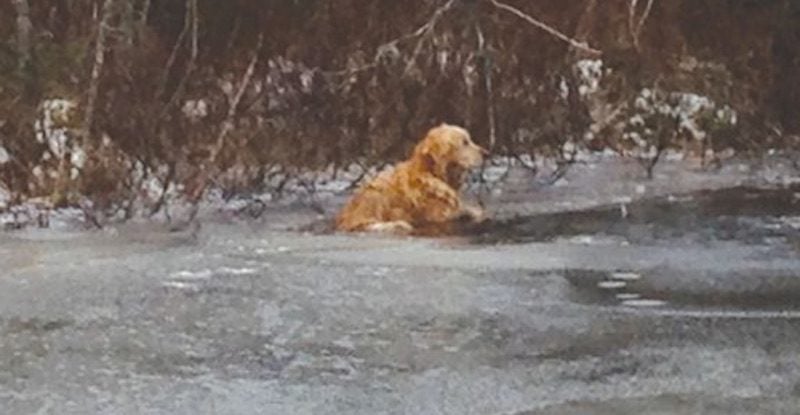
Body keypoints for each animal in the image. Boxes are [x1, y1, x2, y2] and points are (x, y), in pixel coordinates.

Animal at [332, 122, 484, 234]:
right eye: (465, 142)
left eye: (469, 140)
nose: (486, 153)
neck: (431, 173)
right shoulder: (438, 216)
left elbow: (471, 210)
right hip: (375, 192)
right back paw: (398, 224)